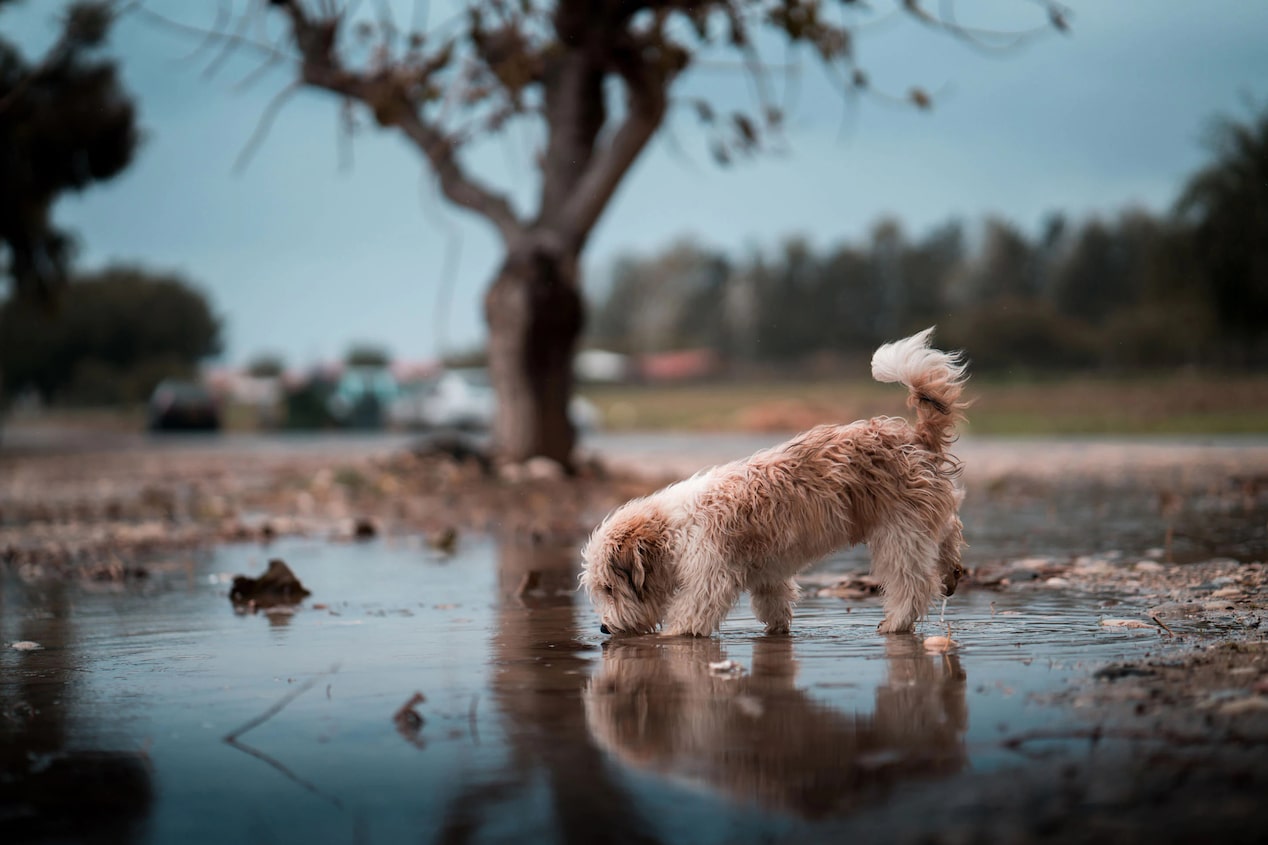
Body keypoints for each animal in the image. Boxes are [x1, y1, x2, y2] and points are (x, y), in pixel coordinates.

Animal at [580, 324, 963, 634]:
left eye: (610, 588)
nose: (603, 629)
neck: (673, 531)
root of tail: (915, 438)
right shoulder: (768, 573)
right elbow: (773, 602)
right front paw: (776, 630)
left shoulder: (711, 575)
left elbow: (691, 613)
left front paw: (672, 637)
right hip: (920, 522)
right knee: (949, 532)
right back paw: (952, 573)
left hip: (899, 532)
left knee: (912, 583)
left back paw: (896, 622)